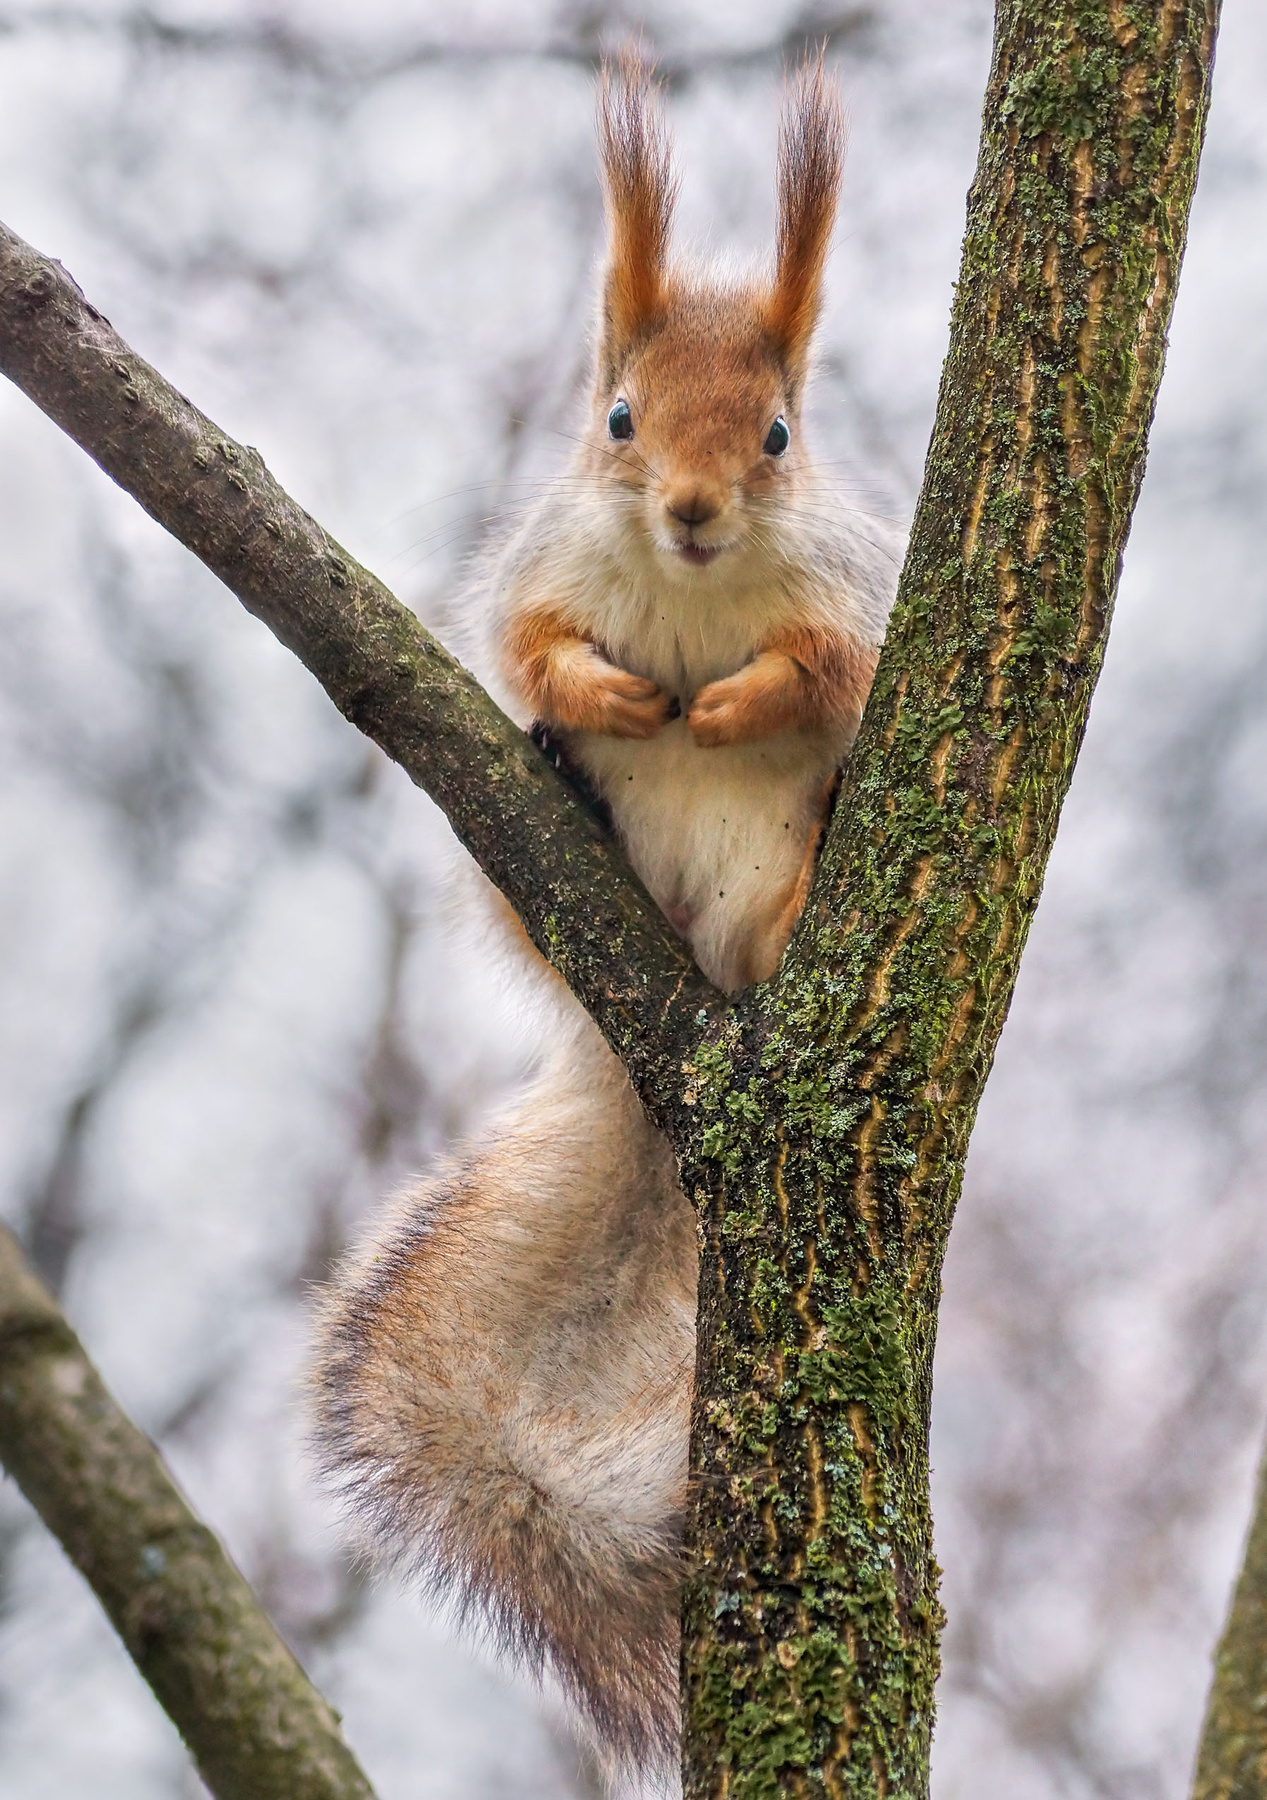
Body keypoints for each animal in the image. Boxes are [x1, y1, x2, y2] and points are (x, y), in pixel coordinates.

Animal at [312, 57, 898, 1784]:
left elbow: (821, 671)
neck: (693, 595)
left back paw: (789, 899)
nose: (693, 512)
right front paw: (618, 698)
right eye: (620, 422)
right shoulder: (539, 570)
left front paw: (735, 704)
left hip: (764, 895)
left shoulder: (850, 601)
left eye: (776, 435)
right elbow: (533, 642)